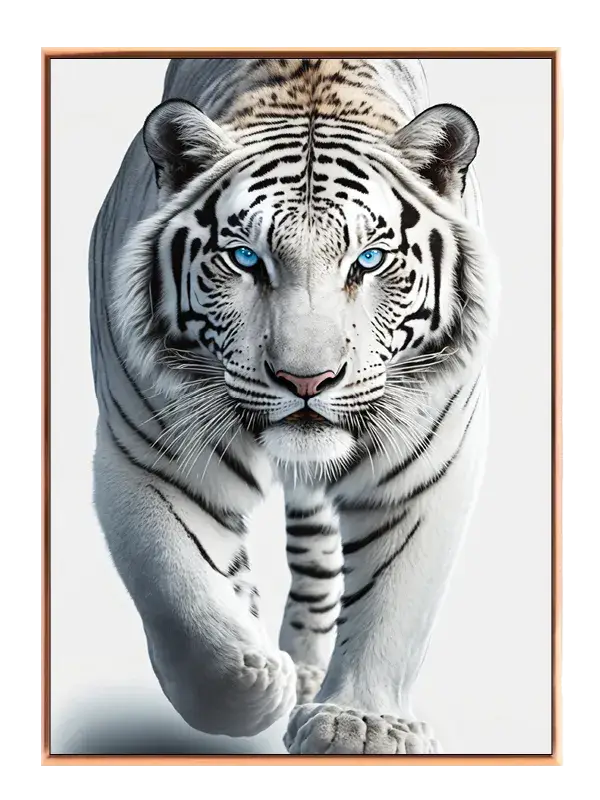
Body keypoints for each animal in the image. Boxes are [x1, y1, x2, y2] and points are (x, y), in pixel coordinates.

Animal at [89, 57, 499, 755]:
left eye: (369, 260)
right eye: (245, 258)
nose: (306, 380)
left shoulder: (425, 469)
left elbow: (392, 605)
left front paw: (361, 724)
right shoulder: (146, 455)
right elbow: (174, 584)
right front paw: (247, 685)